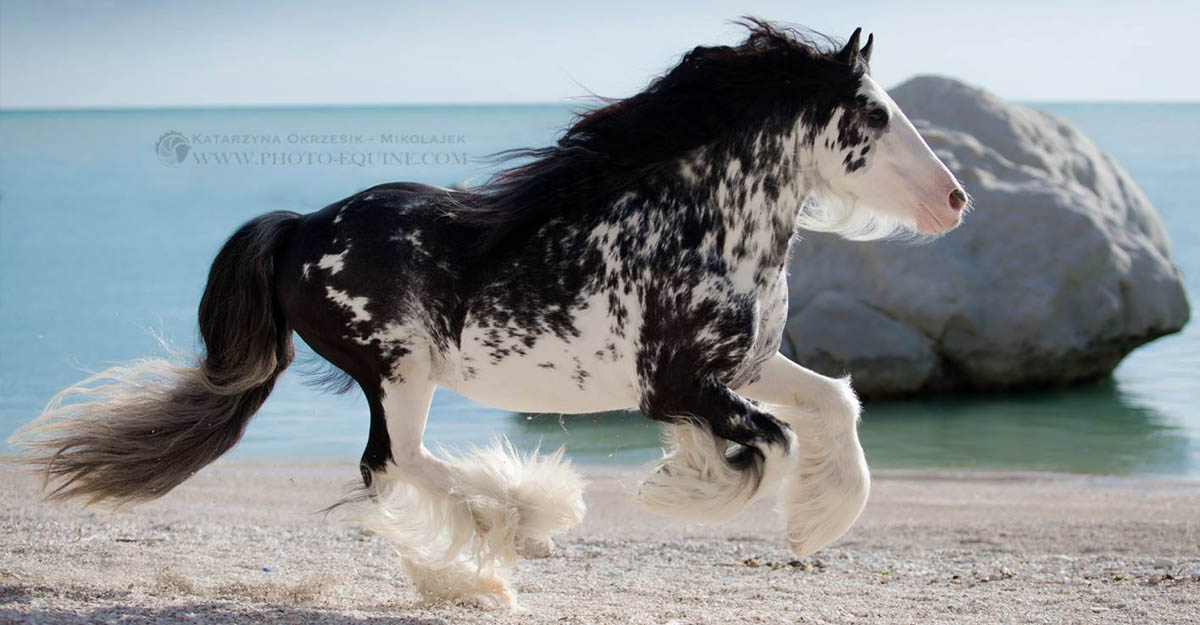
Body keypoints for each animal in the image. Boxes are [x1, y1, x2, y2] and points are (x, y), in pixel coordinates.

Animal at [9, 21, 964, 607]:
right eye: (875, 114)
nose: (955, 202)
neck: (699, 222)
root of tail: (298, 228)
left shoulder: (746, 363)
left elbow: (833, 403)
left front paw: (815, 521)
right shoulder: (675, 384)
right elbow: (769, 444)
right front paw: (683, 488)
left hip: (401, 375)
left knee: (392, 466)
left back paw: (502, 544)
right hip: (397, 368)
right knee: (392, 463)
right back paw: (511, 536)